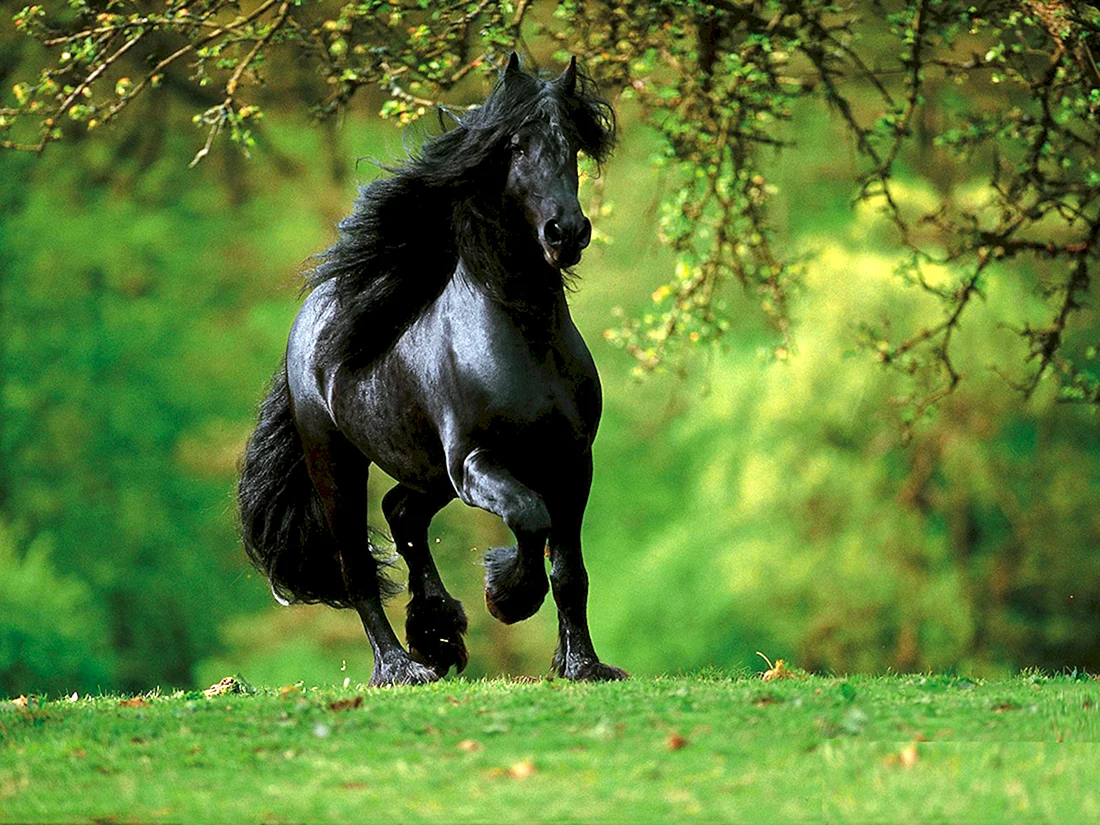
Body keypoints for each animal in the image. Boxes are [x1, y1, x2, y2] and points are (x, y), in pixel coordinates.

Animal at [237, 53, 628, 686]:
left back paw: (437, 632)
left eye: (571, 144)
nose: (566, 232)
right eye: (516, 145)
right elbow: (529, 517)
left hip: (425, 471)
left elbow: (570, 570)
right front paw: (507, 596)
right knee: (356, 567)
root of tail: (310, 318)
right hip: (338, 465)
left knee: (402, 515)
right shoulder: (474, 461)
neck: (523, 340)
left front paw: (584, 666)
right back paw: (401, 667)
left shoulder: (572, 461)